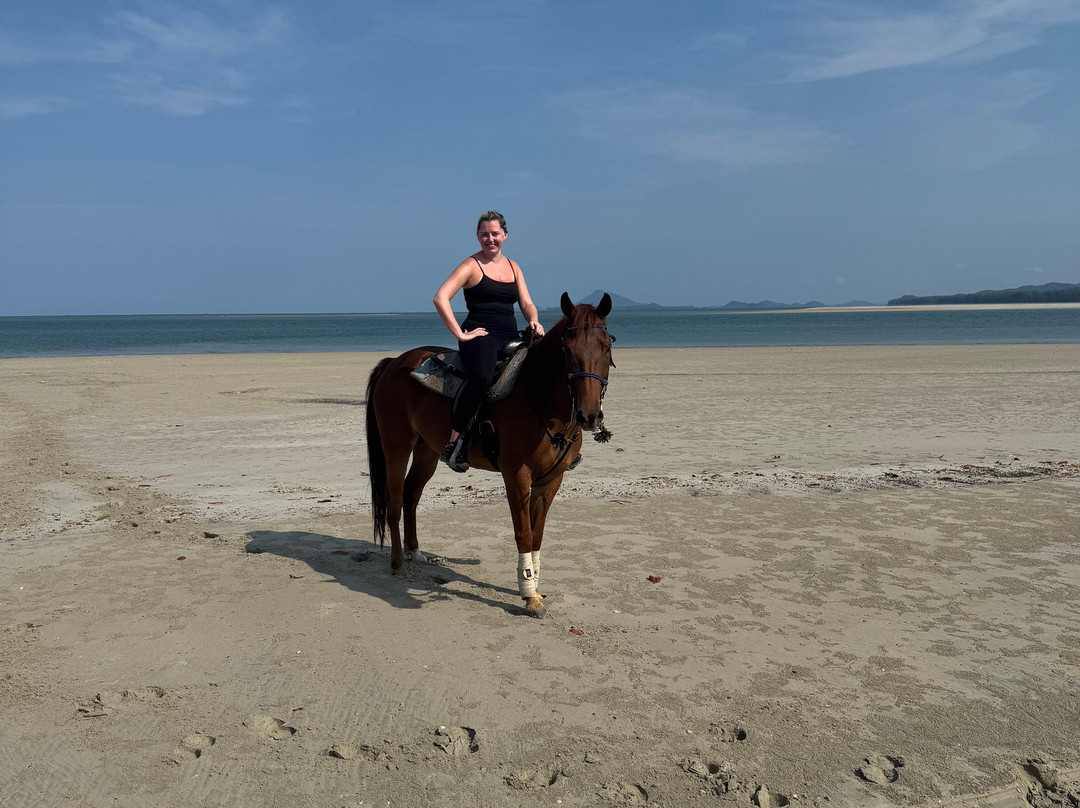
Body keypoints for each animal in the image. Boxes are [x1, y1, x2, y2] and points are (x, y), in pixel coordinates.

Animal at [364, 292, 614, 617]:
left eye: (607, 346)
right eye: (567, 350)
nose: (588, 415)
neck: (539, 399)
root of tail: (394, 363)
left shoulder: (551, 480)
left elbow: (537, 534)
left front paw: (535, 587)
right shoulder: (516, 475)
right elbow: (523, 533)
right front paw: (529, 595)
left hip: (426, 451)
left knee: (411, 495)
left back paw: (415, 552)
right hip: (397, 447)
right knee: (393, 501)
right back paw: (397, 564)